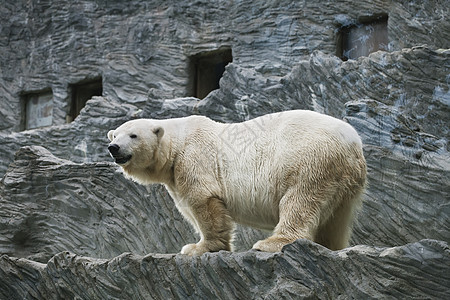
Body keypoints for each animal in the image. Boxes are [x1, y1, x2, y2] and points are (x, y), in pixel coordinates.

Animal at [107, 110, 368, 255]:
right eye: (115, 134)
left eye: (133, 135)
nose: (114, 147)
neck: (176, 144)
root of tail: (353, 142)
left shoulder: (194, 158)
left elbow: (203, 201)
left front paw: (198, 248)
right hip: (343, 179)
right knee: (336, 218)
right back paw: (331, 246)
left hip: (309, 159)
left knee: (299, 201)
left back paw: (270, 243)